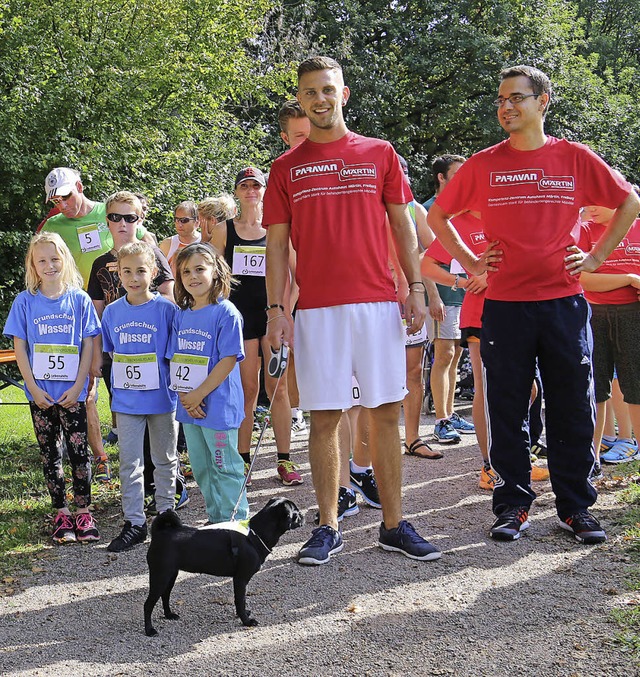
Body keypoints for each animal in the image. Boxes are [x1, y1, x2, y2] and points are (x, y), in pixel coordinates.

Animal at [144, 496, 302, 632]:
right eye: (296, 513)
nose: (302, 515)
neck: (255, 533)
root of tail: (160, 533)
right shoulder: (240, 580)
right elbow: (240, 601)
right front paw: (246, 621)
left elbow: (241, 601)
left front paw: (244, 614)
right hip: (160, 576)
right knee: (148, 604)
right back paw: (149, 630)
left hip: (170, 575)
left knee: (165, 595)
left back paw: (169, 615)